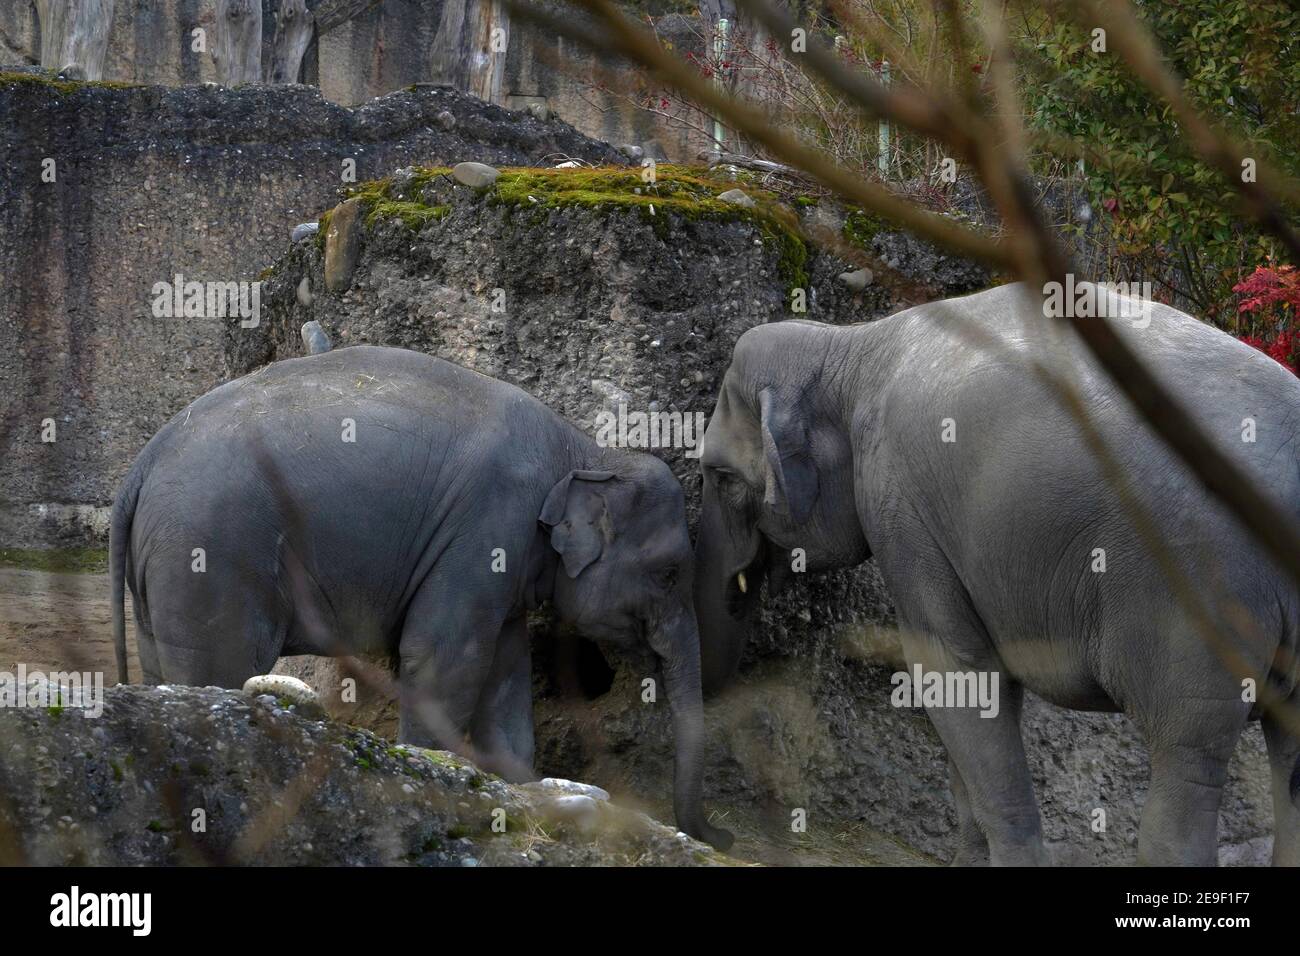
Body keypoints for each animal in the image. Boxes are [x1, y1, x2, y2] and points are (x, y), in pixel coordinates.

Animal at [111, 345, 733, 853]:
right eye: (669, 573)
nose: (722, 836)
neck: (584, 452)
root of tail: (138, 467)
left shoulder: (502, 562)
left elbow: (505, 674)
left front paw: (520, 783)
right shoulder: (487, 526)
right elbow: (445, 659)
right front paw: (431, 769)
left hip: (165, 565)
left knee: (163, 667)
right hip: (211, 551)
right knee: (218, 667)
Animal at [696, 282, 1300, 868]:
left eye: (720, 477)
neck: (847, 345)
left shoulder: (899, 506)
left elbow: (952, 668)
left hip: (1201, 592)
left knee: (1186, 758)